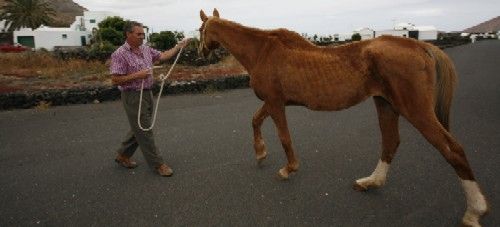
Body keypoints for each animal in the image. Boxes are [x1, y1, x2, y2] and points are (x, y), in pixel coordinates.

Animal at [199, 8, 488, 225]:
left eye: (200, 30)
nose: (202, 54)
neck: (262, 51)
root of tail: (418, 45)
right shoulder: (271, 104)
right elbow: (255, 121)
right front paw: (260, 153)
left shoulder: (275, 103)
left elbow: (283, 136)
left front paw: (288, 168)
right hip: (386, 105)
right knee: (390, 142)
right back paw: (370, 182)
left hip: (415, 109)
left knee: (453, 150)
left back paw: (474, 212)